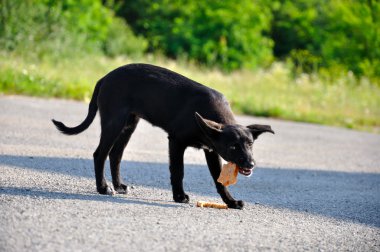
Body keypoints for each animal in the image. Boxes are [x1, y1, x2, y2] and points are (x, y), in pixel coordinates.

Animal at [52, 63, 274, 209]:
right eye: (233, 147)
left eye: (250, 144)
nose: (251, 164)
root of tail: (105, 77)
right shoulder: (176, 141)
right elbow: (178, 171)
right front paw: (179, 196)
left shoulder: (211, 151)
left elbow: (218, 180)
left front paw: (231, 201)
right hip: (113, 122)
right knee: (100, 154)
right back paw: (103, 187)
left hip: (128, 124)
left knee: (115, 155)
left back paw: (118, 186)